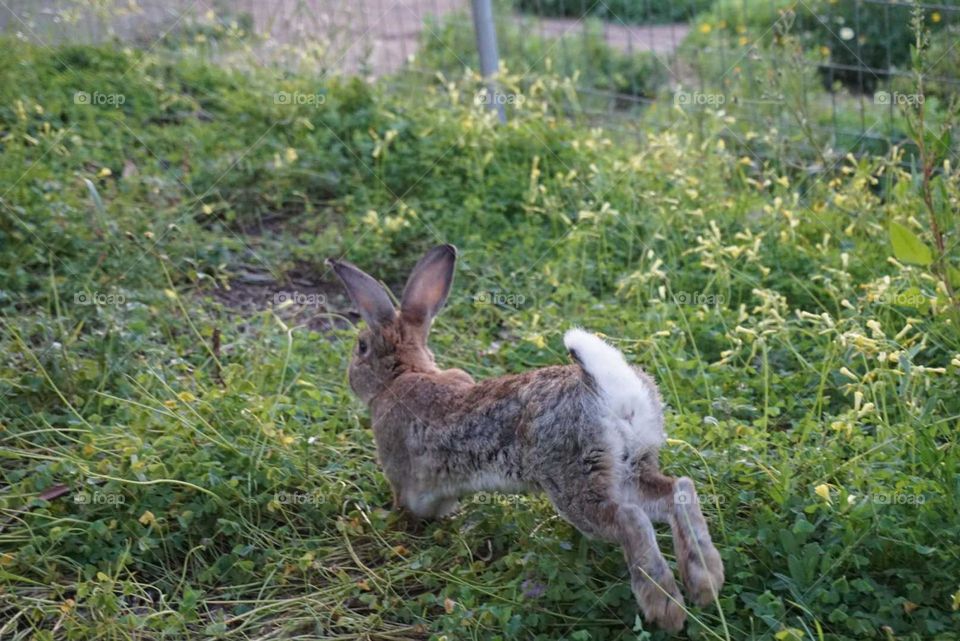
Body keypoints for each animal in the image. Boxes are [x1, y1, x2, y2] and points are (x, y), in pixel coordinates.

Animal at [328, 244, 720, 632]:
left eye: (361, 346)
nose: (349, 376)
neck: (402, 374)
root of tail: (611, 392)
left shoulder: (404, 477)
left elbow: (410, 504)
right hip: (628, 467)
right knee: (678, 491)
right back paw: (706, 581)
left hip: (575, 479)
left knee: (631, 519)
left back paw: (666, 608)